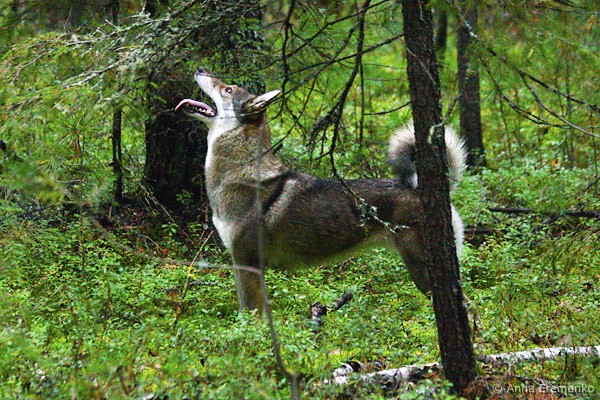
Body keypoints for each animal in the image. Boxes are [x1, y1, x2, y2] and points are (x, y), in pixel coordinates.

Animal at [176, 67, 467, 313]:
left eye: (228, 89)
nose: (200, 68)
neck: (238, 171)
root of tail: (423, 191)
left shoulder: (248, 263)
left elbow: (251, 316)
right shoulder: (241, 264)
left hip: (423, 272)